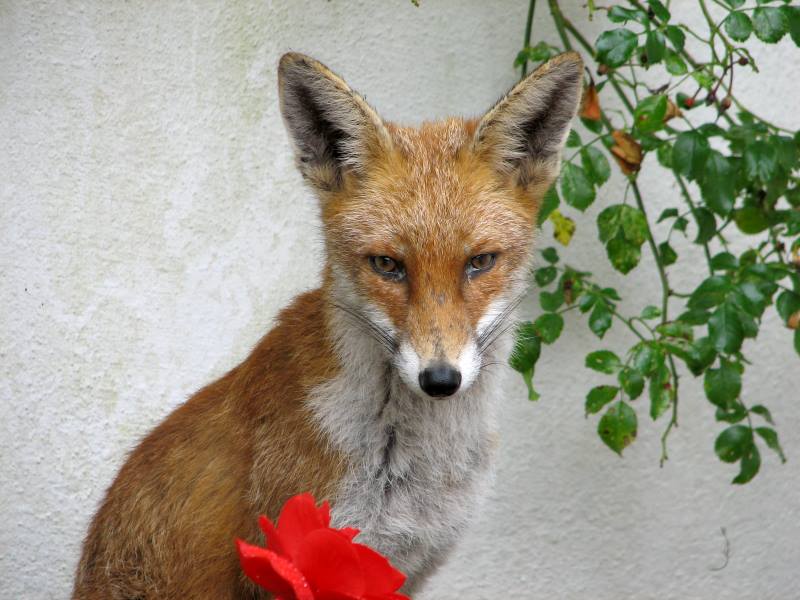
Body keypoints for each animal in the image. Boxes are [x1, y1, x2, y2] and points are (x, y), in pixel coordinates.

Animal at [73, 52, 580, 600]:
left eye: (480, 262)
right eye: (387, 265)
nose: (440, 380)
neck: (414, 467)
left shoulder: (404, 570)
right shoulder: (288, 564)